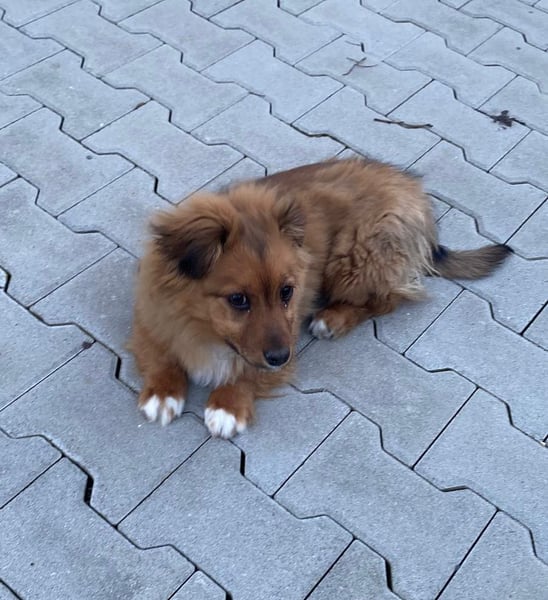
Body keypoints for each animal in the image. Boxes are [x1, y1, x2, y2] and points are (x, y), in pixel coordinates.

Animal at [130, 158, 511, 438]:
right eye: (238, 300)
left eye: (286, 292)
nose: (280, 358)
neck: (206, 330)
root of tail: (414, 191)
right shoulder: (150, 316)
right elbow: (162, 355)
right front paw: (164, 393)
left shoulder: (285, 334)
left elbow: (248, 372)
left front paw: (228, 405)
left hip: (356, 258)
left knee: (387, 298)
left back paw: (334, 318)